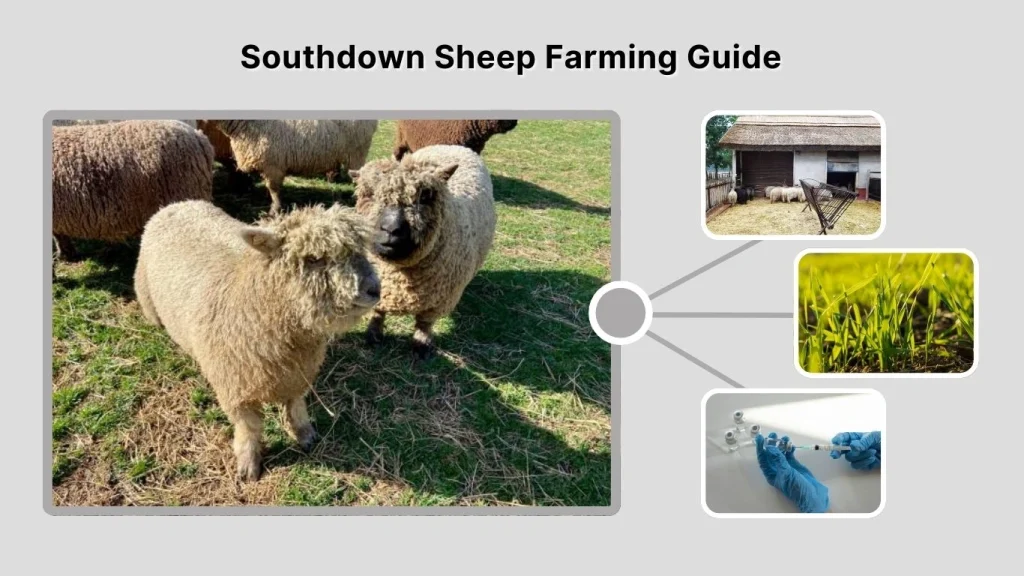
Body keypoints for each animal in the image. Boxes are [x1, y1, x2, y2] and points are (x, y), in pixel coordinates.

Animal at [133, 199, 381, 481]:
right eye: (313, 259)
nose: (375, 289)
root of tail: (176, 204)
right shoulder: (235, 390)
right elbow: (249, 428)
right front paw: (248, 465)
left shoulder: (298, 375)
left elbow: (296, 406)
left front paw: (305, 435)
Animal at [348, 144, 496, 360]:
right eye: (368, 194)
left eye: (425, 197)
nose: (391, 229)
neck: (397, 276)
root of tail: (452, 146)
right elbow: (377, 313)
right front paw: (372, 336)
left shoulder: (438, 301)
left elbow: (425, 323)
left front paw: (421, 346)